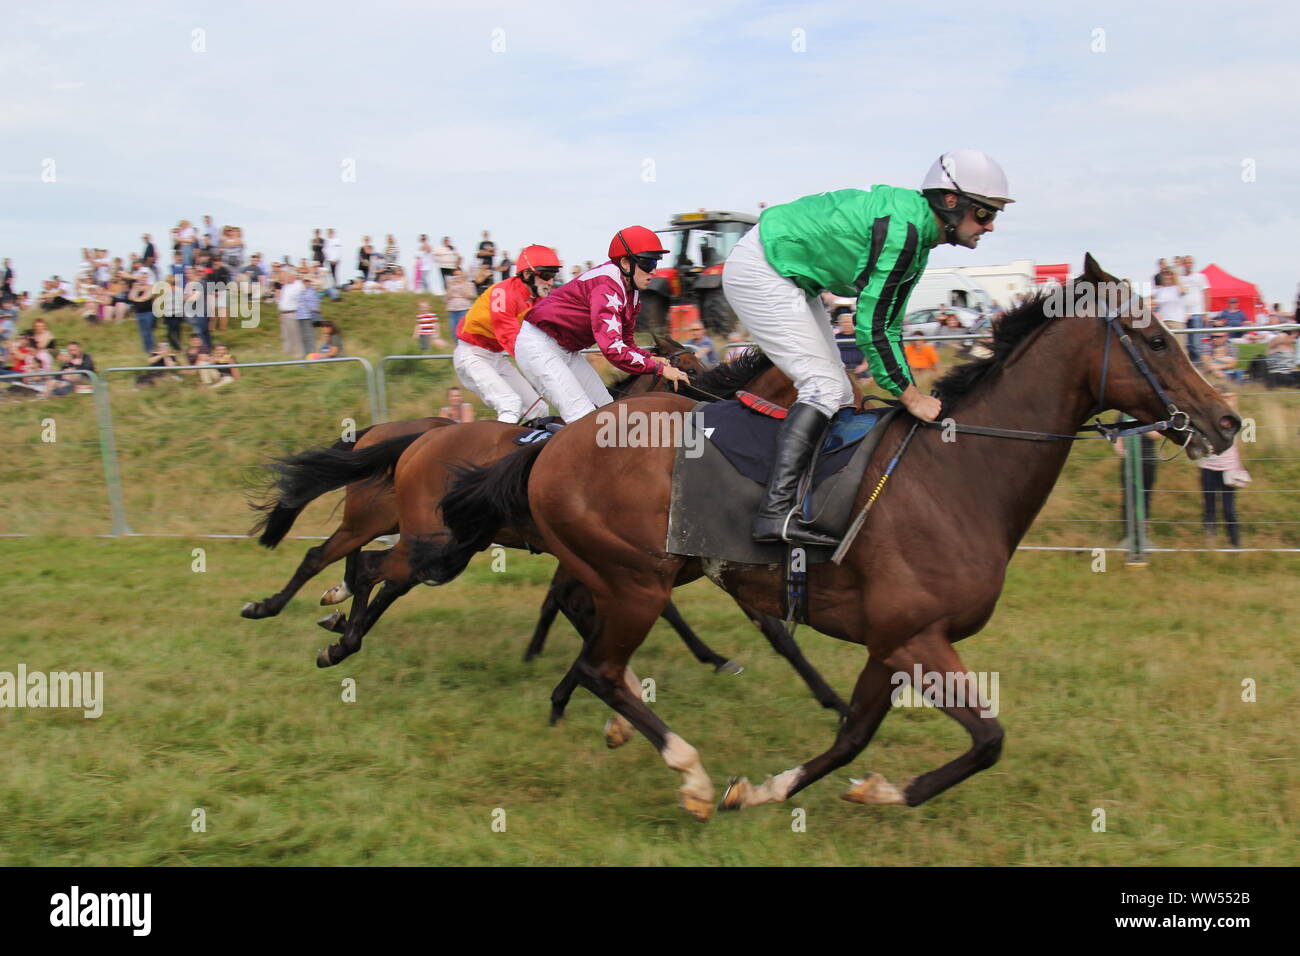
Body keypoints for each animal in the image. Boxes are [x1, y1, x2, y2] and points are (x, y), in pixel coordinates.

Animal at [436, 256, 1237, 822]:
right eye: (1156, 339)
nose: (1225, 422)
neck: (958, 475)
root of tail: (555, 442)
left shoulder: (894, 641)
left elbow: (856, 734)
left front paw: (776, 790)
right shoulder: (917, 637)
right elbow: (988, 740)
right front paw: (860, 791)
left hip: (647, 573)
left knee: (596, 646)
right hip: (637, 579)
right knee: (601, 661)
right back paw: (684, 768)